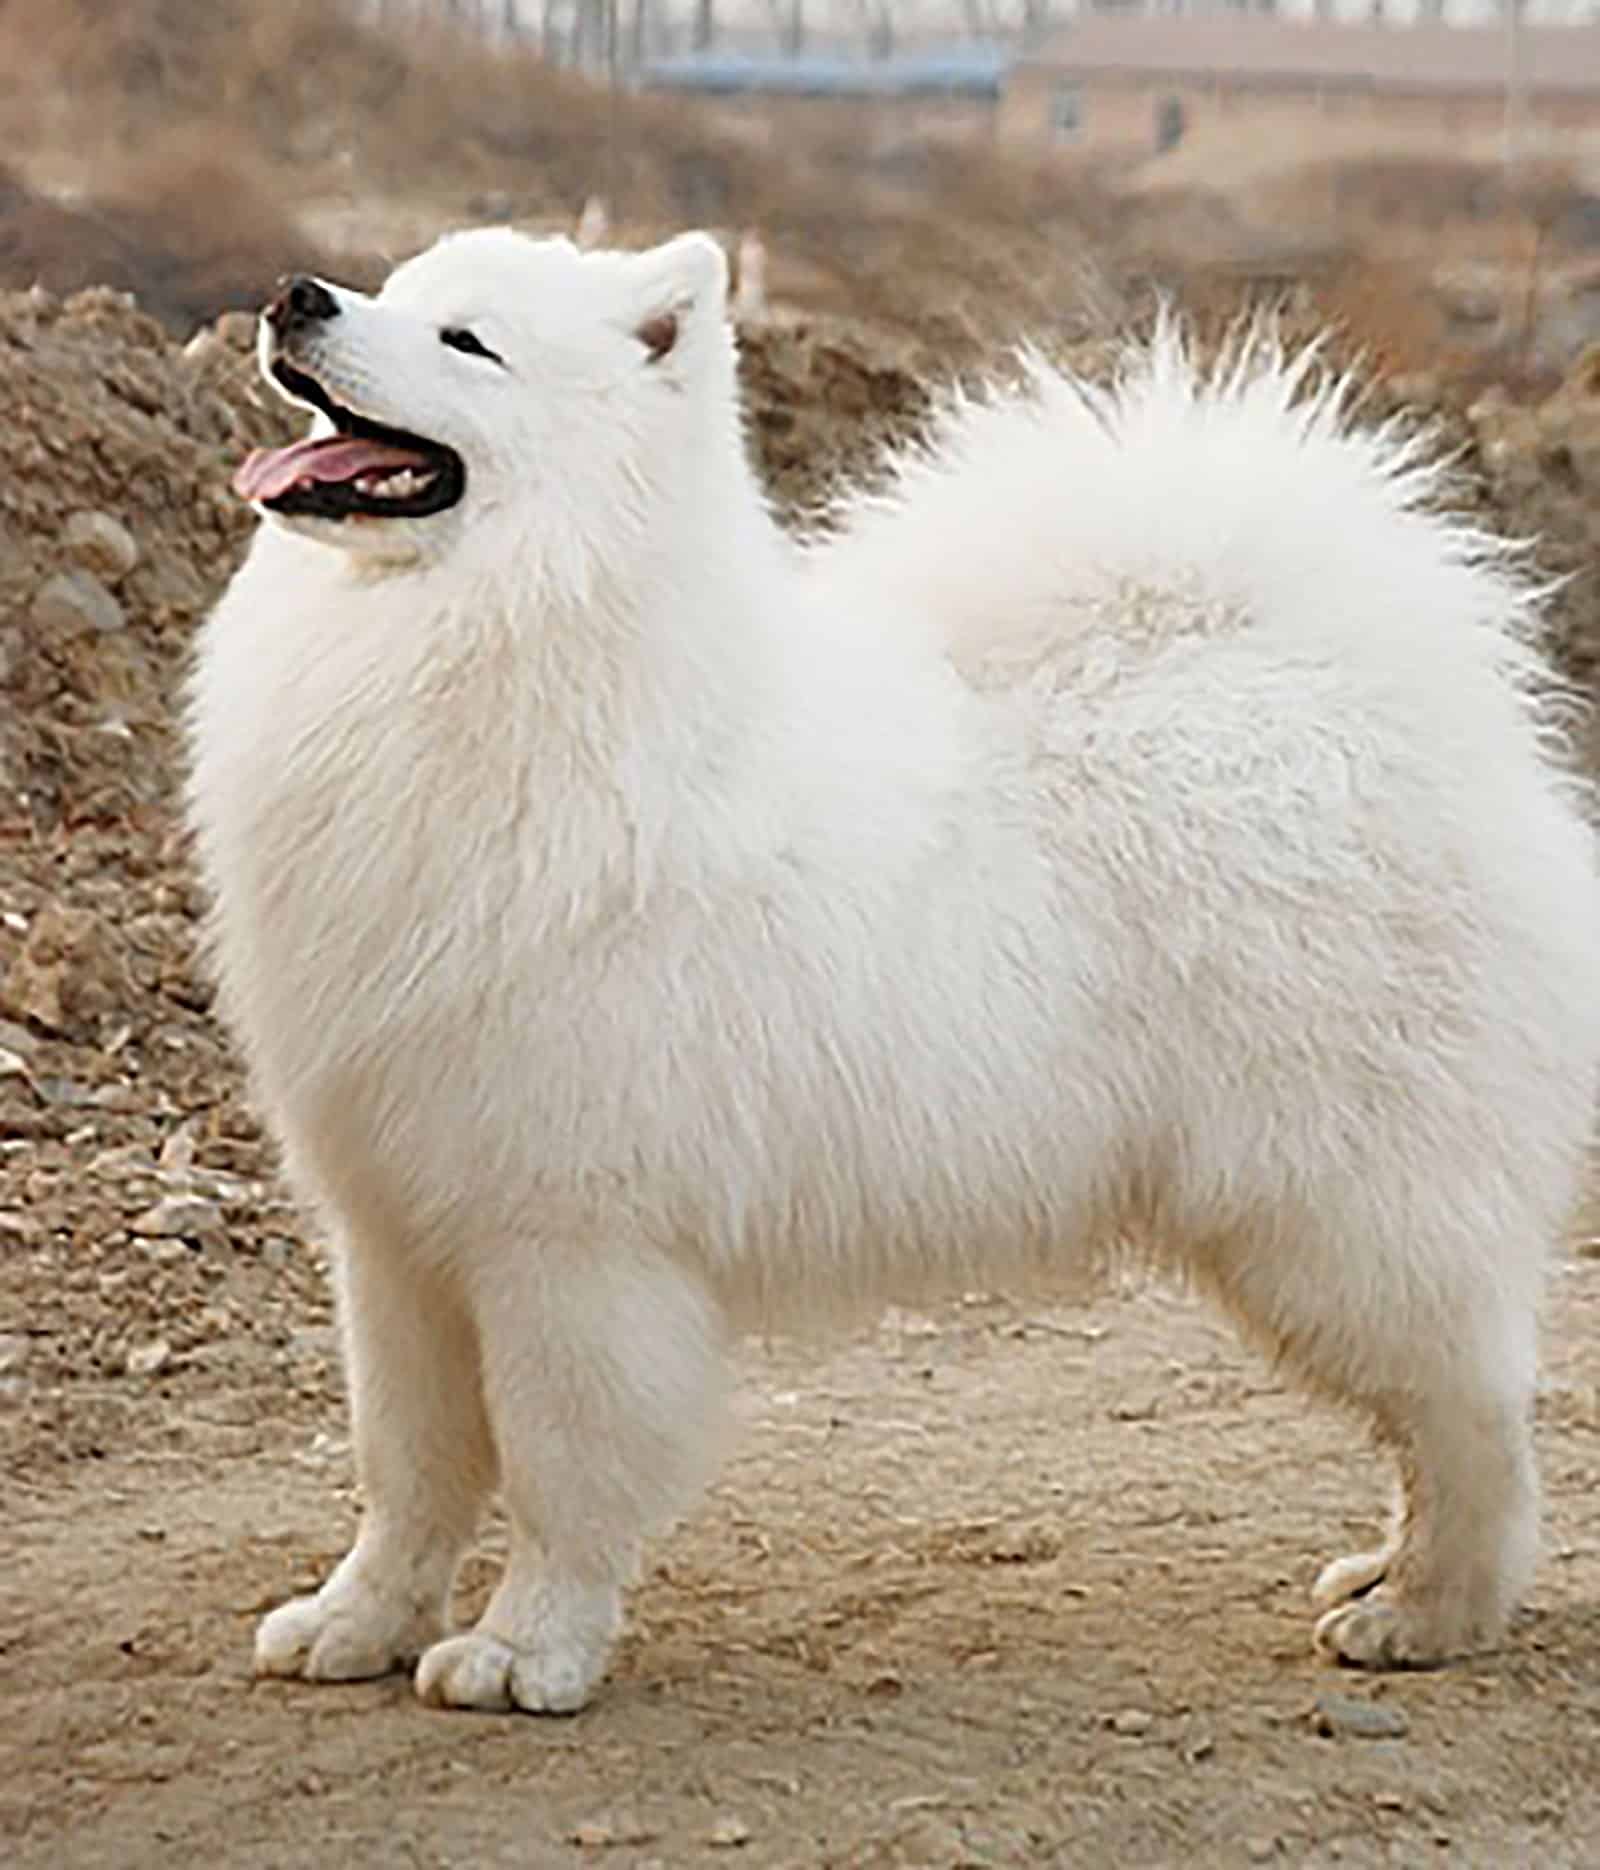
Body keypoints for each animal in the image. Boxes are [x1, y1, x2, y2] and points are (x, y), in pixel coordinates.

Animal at [190, 226, 1600, 1712]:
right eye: (392, 290)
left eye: (468, 342)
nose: (296, 298)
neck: (505, 638)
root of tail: (1398, 713)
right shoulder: (397, 1233)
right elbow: (407, 1467)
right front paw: (358, 1621)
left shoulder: (570, 1242)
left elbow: (562, 1471)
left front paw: (528, 1649)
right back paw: (1385, 1573)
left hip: (1333, 1221)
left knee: (1474, 1413)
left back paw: (1431, 1610)